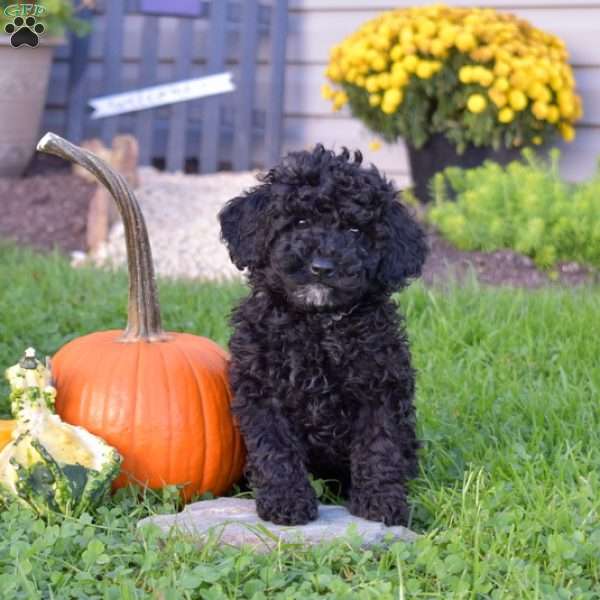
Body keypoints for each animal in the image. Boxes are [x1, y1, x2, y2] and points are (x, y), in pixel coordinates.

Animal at [219, 145, 426, 524]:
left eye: (356, 231)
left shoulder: (381, 388)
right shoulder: (262, 391)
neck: (317, 324)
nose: (322, 268)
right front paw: (286, 501)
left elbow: (380, 446)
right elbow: (275, 448)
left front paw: (381, 502)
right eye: (300, 222)